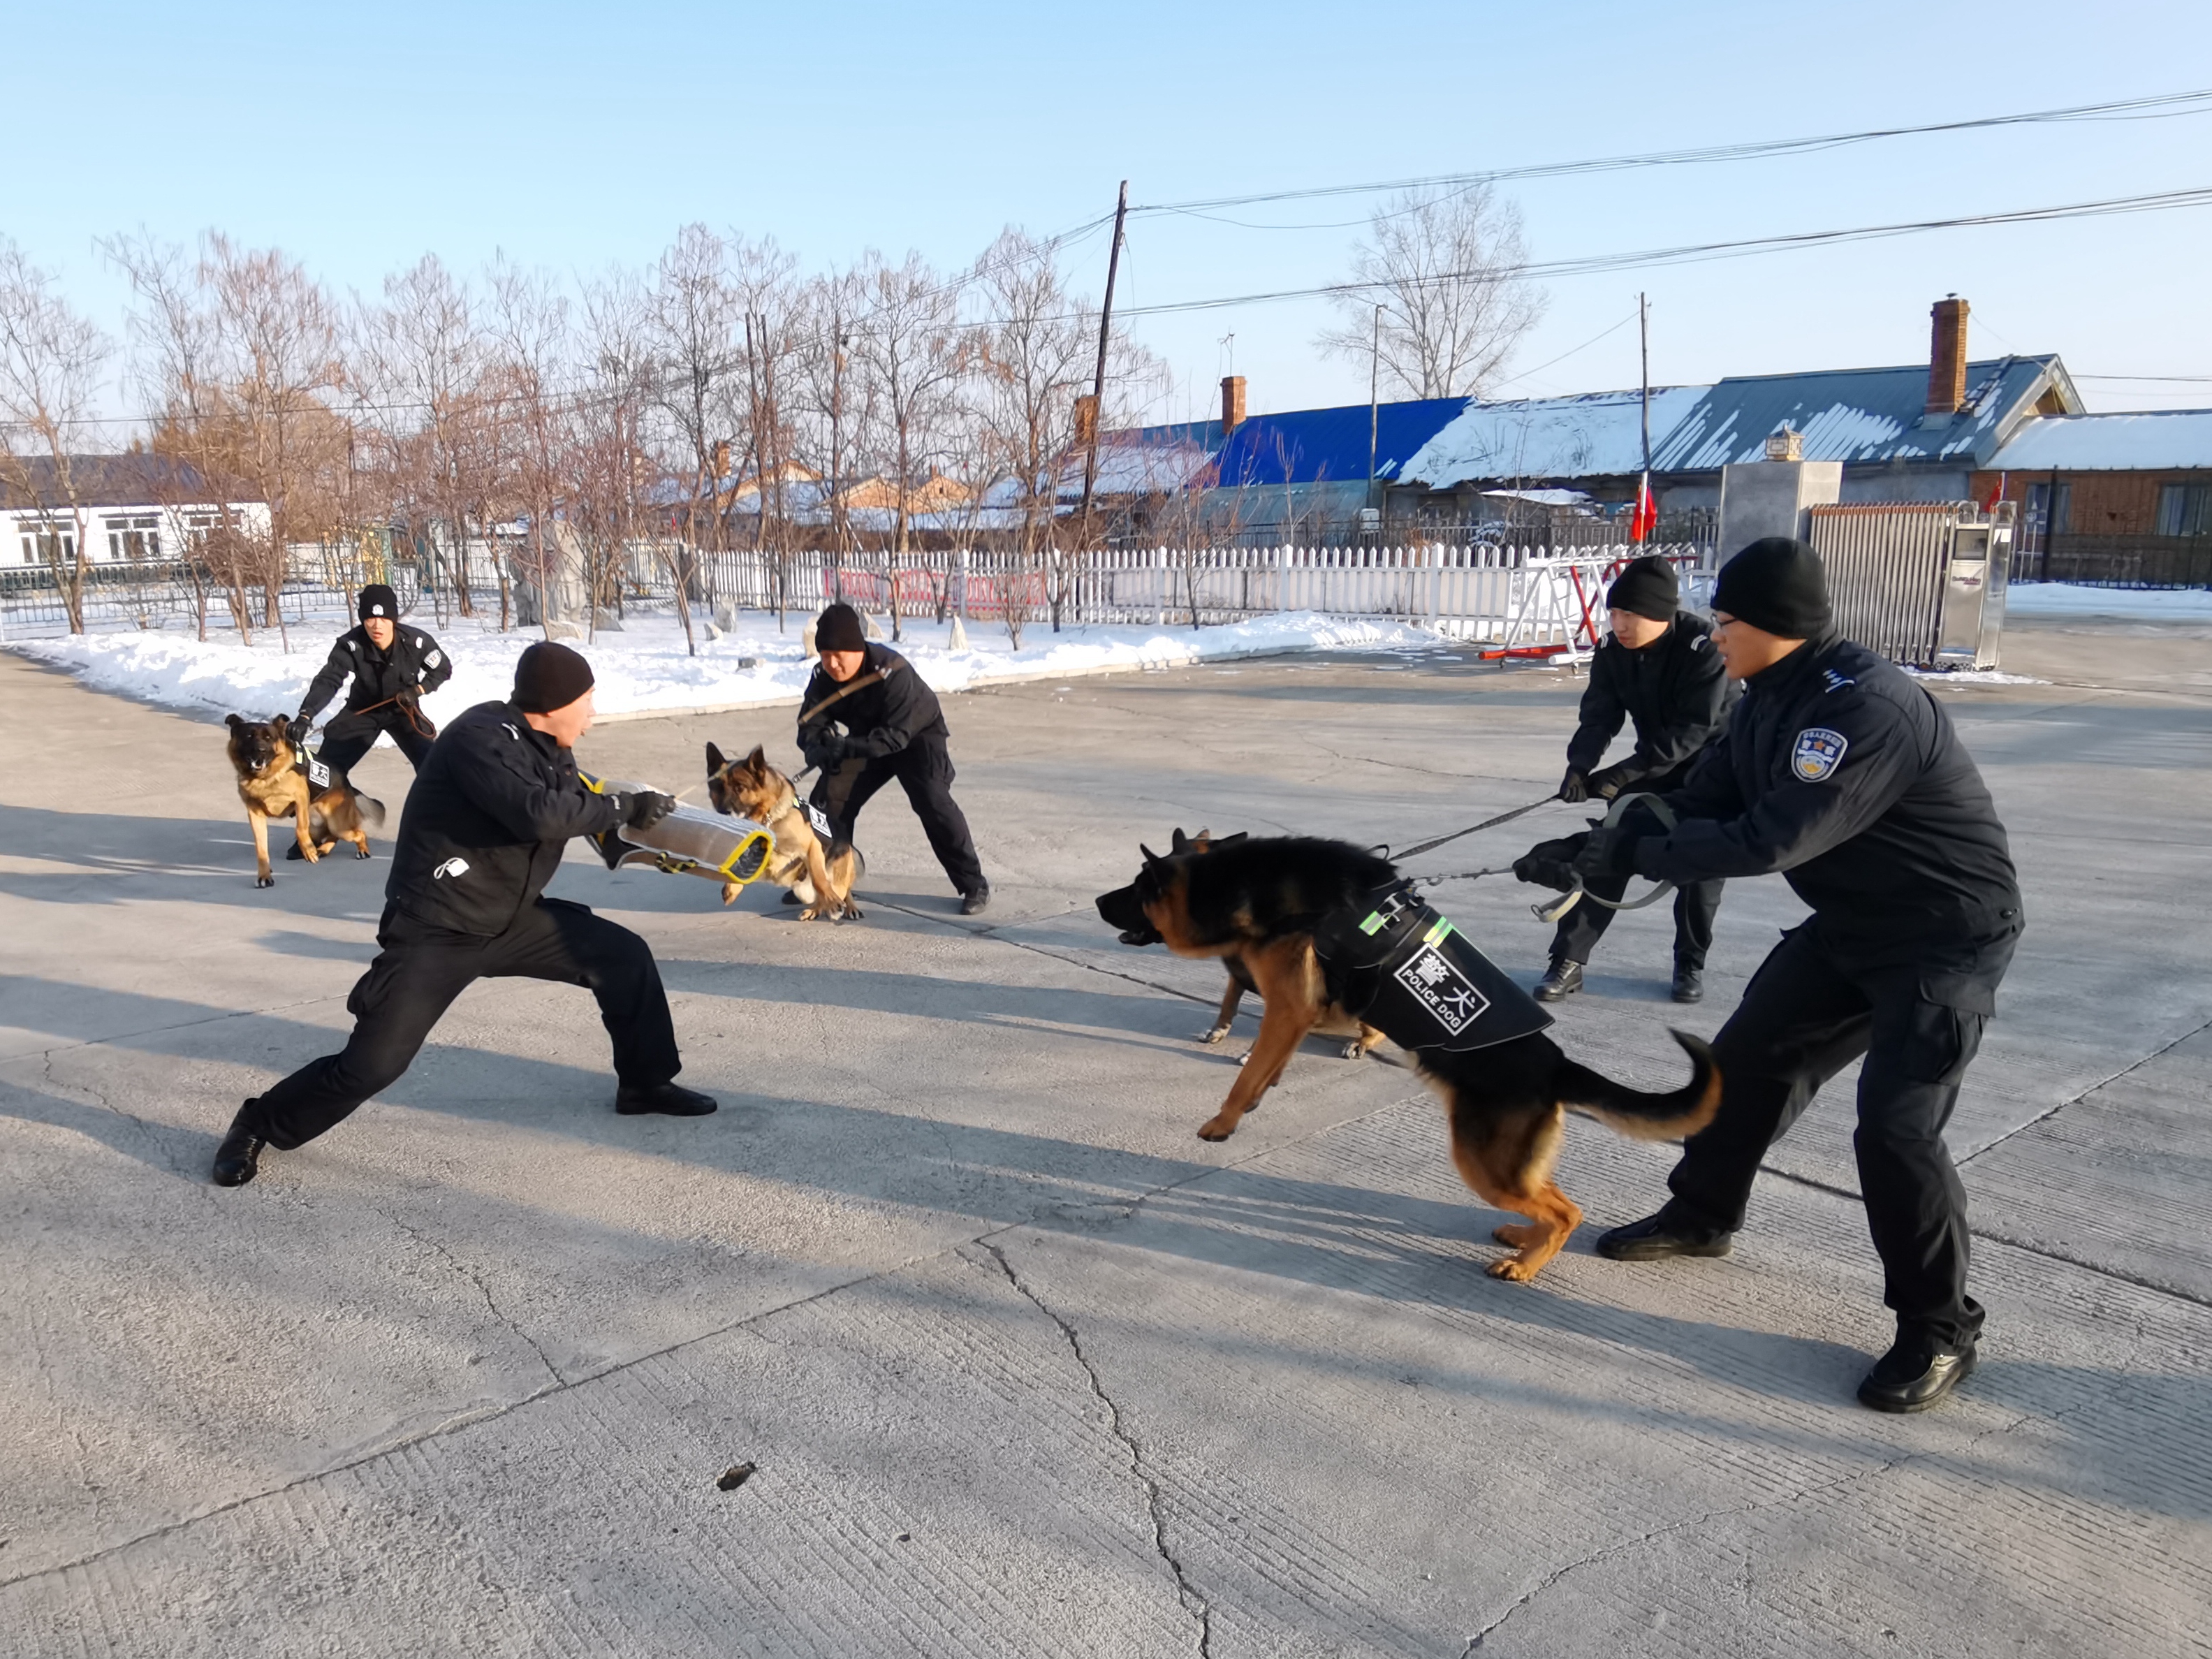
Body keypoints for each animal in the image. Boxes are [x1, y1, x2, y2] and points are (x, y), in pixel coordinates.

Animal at [224, 717, 385, 898]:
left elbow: (300, 829)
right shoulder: (255, 815)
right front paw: (264, 876)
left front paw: (308, 851)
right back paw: (323, 849)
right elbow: (261, 849)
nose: (261, 751)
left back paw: (360, 850)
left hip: (338, 825)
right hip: (321, 827)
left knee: (359, 833)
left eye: (268, 738)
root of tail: (347, 785)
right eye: (249, 736)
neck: (264, 779)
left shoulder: (300, 798)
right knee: (332, 835)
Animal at [698, 752, 863, 929]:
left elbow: (820, 880)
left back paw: (845, 907)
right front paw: (733, 888)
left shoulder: (811, 846)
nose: (724, 812)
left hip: (836, 878)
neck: (767, 816)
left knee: (841, 890)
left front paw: (833, 903)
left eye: (740, 788)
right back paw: (815, 910)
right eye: (718, 789)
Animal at [1097, 831, 1716, 1282]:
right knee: (1552, 1201)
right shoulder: (1291, 1013)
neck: (1233, 884)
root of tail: (1556, 1065)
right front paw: (1251, 1102)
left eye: (1135, 888)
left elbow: (1247, 1072)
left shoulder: (1289, 1004)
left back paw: (1524, 1265)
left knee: (1567, 1211)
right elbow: (1267, 1064)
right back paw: (1524, 1239)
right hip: (1504, 1162)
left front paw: (1223, 1120)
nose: (1099, 899)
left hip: (1483, 1159)